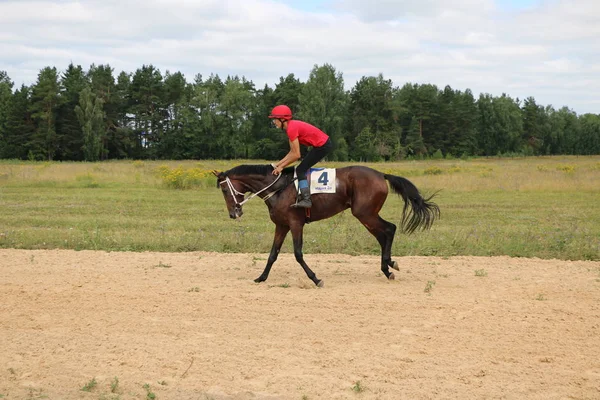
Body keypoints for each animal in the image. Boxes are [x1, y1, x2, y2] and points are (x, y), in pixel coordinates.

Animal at [213, 164, 438, 286]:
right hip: (367, 214)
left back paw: (388, 267)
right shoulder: (282, 225)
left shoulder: (295, 223)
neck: (278, 188)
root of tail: (381, 174)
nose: (233, 213)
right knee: (383, 234)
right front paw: (261, 277)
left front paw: (315, 278)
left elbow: (297, 254)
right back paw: (389, 265)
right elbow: (273, 254)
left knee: (389, 229)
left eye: (224, 190)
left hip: (364, 213)